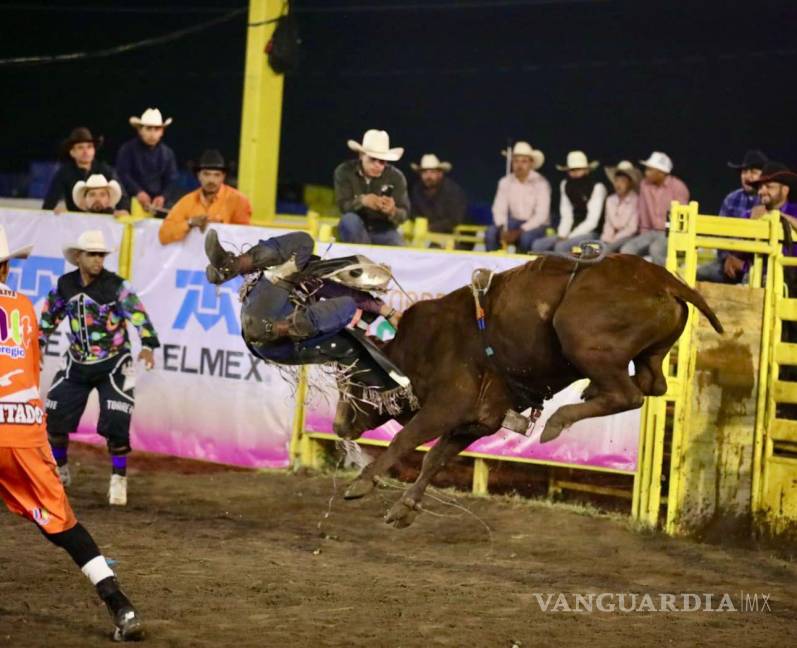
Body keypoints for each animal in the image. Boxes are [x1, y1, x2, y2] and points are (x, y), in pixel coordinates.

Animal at [336, 253, 720, 528]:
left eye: (352, 383)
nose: (339, 426)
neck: (414, 350)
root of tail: (662, 278)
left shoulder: (447, 405)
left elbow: (406, 440)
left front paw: (361, 482)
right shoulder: (478, 420)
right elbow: (435, 458)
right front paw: (405, 507)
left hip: (581, 338)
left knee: (630, 394)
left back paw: (559, 420)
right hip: (649, 353)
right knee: (653, 384)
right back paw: (591, 391)